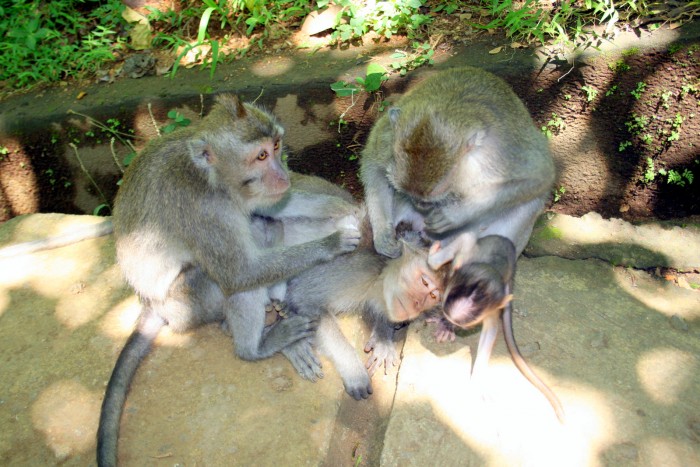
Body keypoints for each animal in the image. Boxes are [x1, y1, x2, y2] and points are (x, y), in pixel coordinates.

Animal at [97, 96, 360, 467]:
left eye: (275, 146)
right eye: (260, 156)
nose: (282, 173)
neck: (213, 179)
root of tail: (149, 303)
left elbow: (278, 206)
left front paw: (345, 206)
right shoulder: (205, 210)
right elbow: (239, 273)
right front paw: (333, 242)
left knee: (261, 223)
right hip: (187, 301)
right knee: (230, 278)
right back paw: (258, 345)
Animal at [358, 66, 556, 406]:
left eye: (434, 196)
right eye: (412, 194)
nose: (422, 208)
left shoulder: (499, 156)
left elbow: (538, 176)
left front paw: (454, 215)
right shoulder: (387, 136)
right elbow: (373, 165)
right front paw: (384, 238)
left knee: (525, 205)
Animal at [432, 236, 564, 422]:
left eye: (465, 325)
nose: (452, 324)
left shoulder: (492, 306)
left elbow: (491, 331)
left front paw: (477, 380)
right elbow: (464, 240)